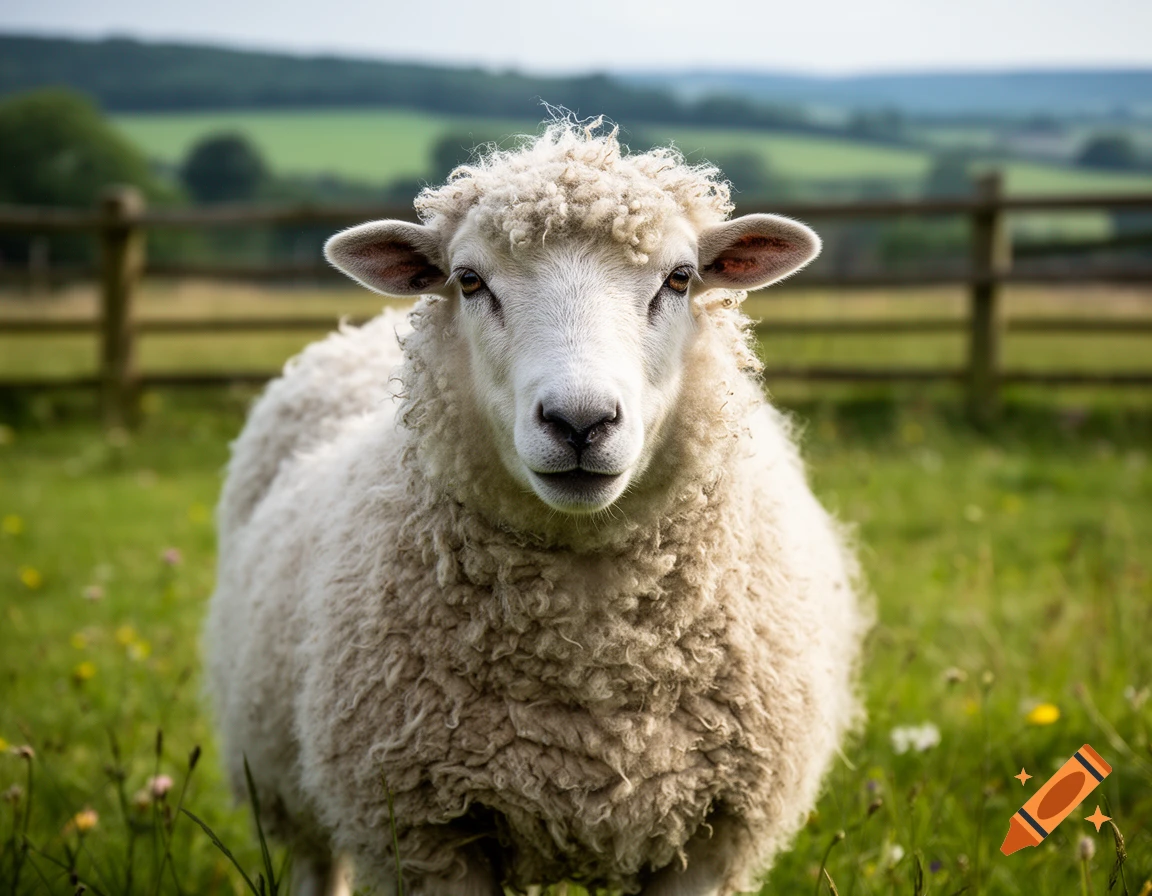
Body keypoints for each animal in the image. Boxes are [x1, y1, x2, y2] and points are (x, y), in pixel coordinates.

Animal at [205, 120, 869, 896]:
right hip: (287, 783)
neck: (591, 671)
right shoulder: (427, 832)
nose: (580, 421)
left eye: (680, 279)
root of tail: (356, 331)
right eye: (469, 281)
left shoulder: (717, 831)